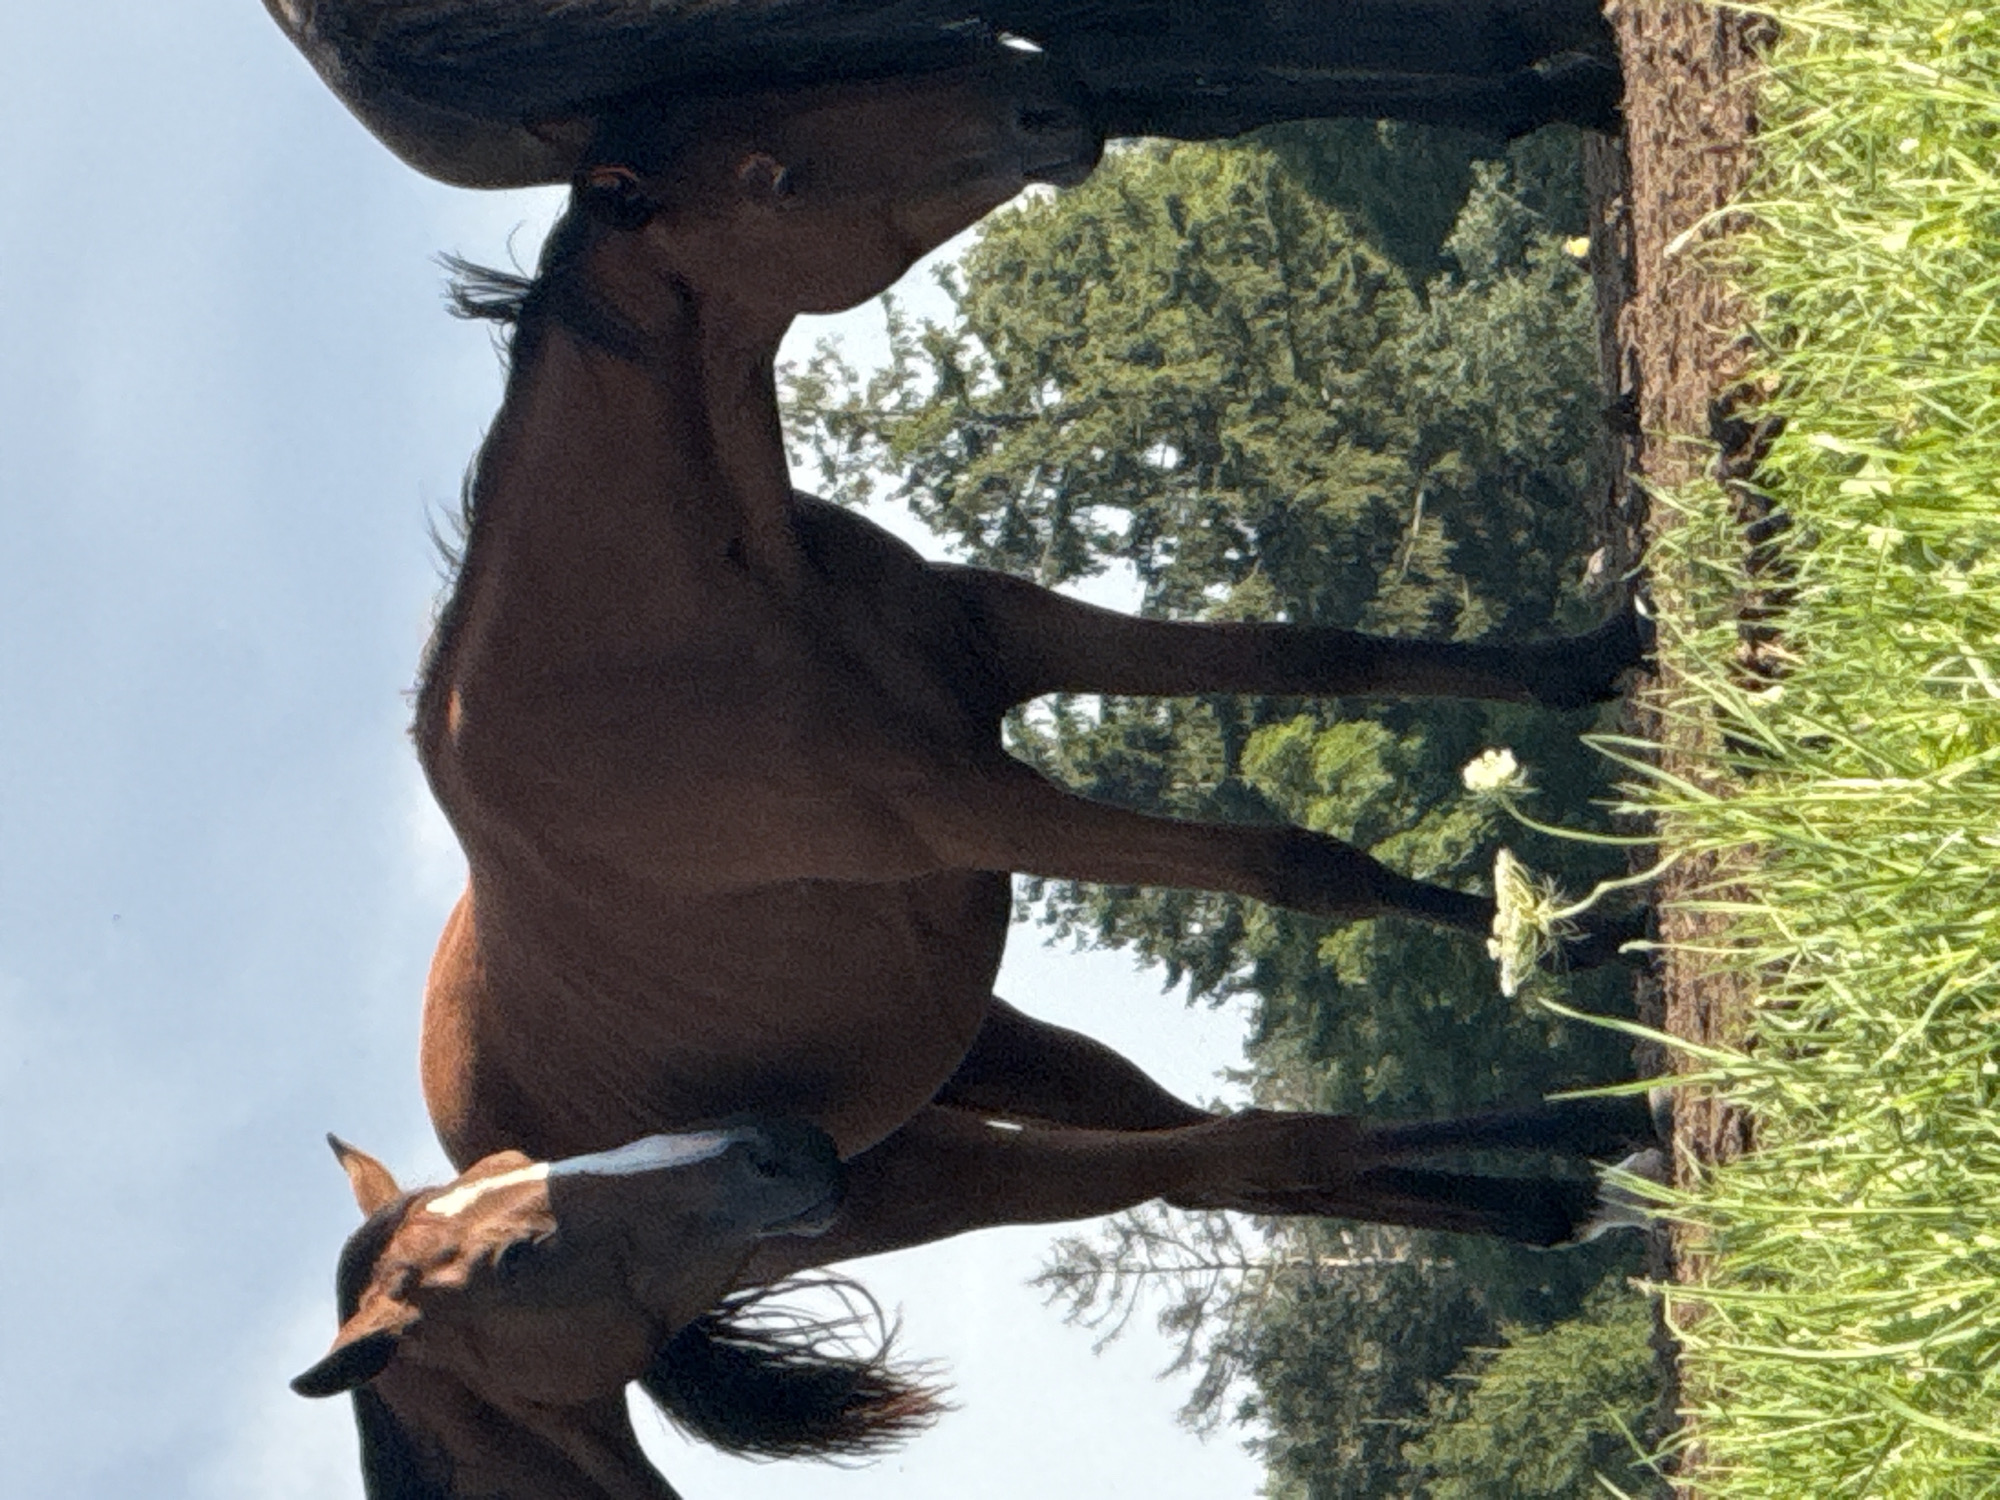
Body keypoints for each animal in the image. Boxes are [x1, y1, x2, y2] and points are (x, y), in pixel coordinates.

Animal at [286, 51, 1655, 1496]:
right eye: (774, 174)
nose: (1038, 97)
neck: (657, 645)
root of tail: (454, 1136)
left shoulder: (1016, 637)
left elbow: (1318, 652)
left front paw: (1597, 664)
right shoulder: (981, 809)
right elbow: (1296, 865)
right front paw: (1572, 933)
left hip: (996, 1048)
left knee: (1207, 1155)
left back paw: (1574, 1179)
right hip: (942, 1176)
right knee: (1229, 1159)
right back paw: (1581, 1157)